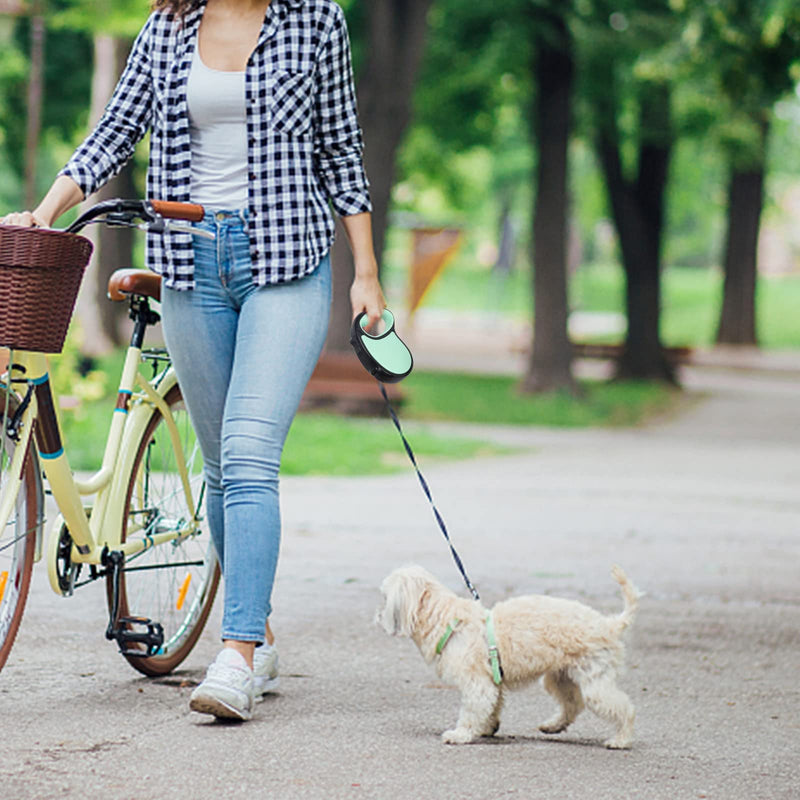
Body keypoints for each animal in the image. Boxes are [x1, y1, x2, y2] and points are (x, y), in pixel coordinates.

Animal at [376, 568, 644, 744]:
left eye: (385, 598)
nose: (377, 616)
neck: (449, 619)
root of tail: (608, 625)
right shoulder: (492, 682)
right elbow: (492, 707)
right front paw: (487, 728)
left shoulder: (477, 684)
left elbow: (472, 710)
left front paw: (461, 734)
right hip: (559, 678)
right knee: (572, 705)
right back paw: (553, 726)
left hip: (595, 686)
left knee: (625, 709)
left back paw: (621, 739)